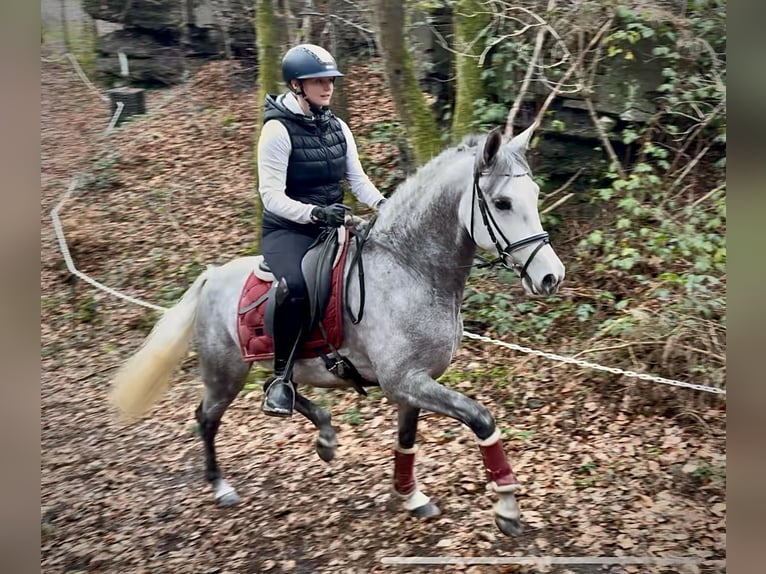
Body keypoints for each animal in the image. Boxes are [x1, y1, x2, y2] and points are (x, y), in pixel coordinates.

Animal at [110, 124, 565, 537]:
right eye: (502, 202)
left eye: (534, 195)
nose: (550, 277)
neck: (411, 269)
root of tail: (212, 276)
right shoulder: (406, 382)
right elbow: (482, 419)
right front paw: (507, 507)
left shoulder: (413, 384)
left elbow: (406, 439)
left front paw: (409, 495)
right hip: (225, 373)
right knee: (206, 418)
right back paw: (221, 486)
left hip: (271, 364)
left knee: (274, 388)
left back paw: (323, 432)